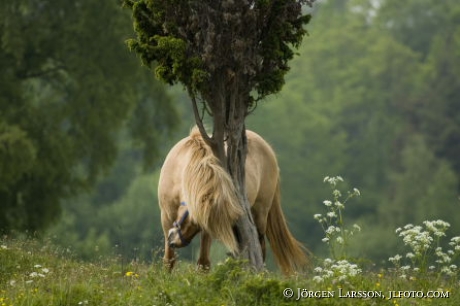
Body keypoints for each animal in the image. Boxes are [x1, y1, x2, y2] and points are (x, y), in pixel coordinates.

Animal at [158, 126, 310, 274]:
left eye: (200, 222)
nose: (174, 242)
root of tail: (268, 149)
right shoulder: (166, 217)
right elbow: (169, 260)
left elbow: (203, 263)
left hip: (260, 214)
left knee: (259, 246)